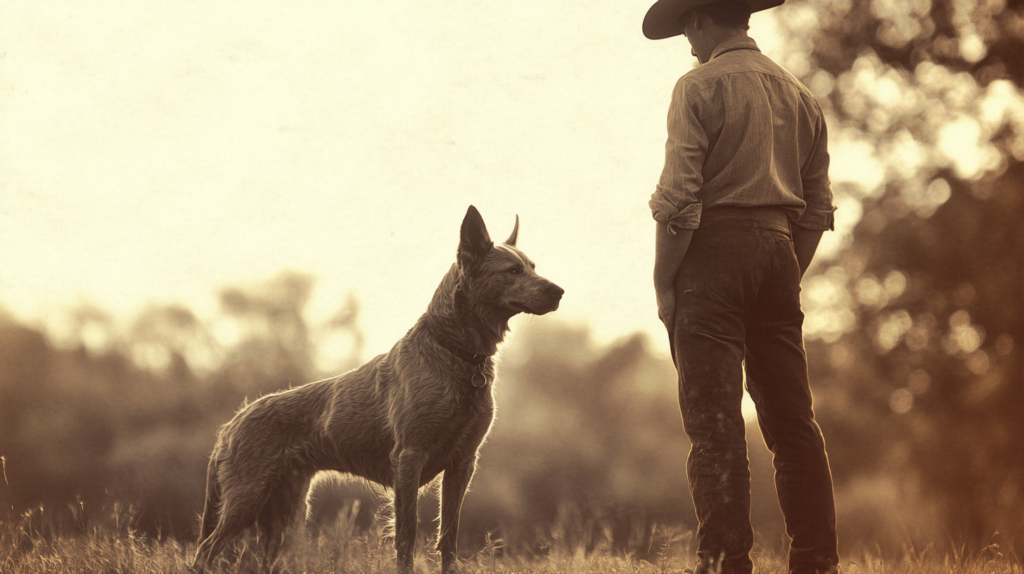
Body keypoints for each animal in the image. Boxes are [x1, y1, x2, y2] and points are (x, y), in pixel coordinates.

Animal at [188, 206, 565, 572]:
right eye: (512, 271)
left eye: (532, 267)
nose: (559, 291)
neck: (454, 352)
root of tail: (230, 425)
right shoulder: (409, 458)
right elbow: (407, 535)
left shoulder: (463, 462)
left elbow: (449, 537)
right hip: (248, 497)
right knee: (205, 551)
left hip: (285, 511)